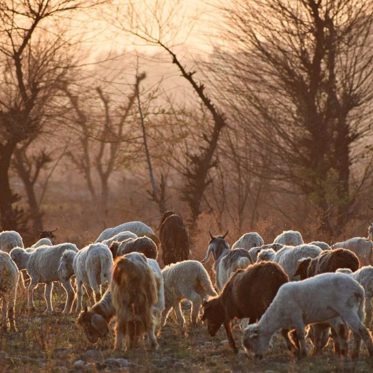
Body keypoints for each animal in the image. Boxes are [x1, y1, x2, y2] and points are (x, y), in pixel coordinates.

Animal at [241, 272, 372, 358]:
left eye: (253, 341)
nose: (257, 357)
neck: (278, 313)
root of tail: (358, 288)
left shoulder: (297, 317)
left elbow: (300, 335)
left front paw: (303, 353)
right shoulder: (289, 322)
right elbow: (284, 333)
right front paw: (293, 349)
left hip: (347, 309)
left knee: (363, 331)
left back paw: (368, 353)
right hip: (358, 310)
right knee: (357, 333)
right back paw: (355, 354)